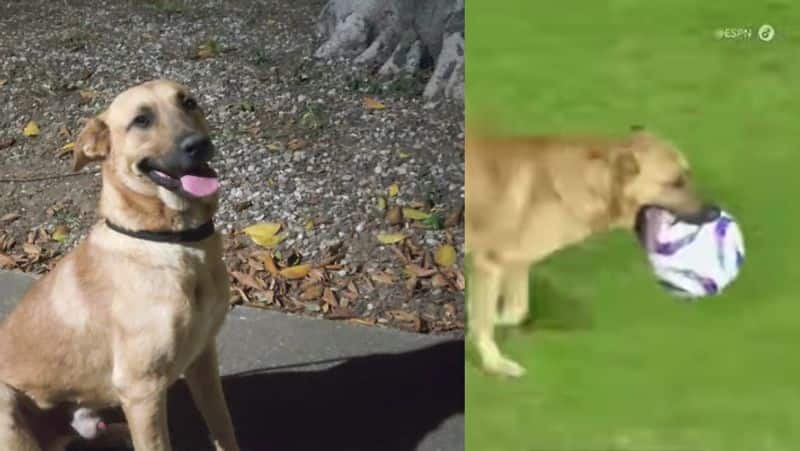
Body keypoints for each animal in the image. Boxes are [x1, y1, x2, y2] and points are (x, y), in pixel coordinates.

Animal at [0, 79, 239, 450]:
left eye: (189, 102)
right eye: (141, 120)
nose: (198, 145)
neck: (171, 241)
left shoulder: (203, 360)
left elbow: (224, 429)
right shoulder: (143, 390)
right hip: (7, 405)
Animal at [466, 131, 716, 378]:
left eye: (688, 175)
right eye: (676, 182)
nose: (713, 212)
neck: (591, 183)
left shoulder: (515, 261)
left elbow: (514, 311)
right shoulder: (489, 262)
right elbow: (486, 320)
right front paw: (494, 362)